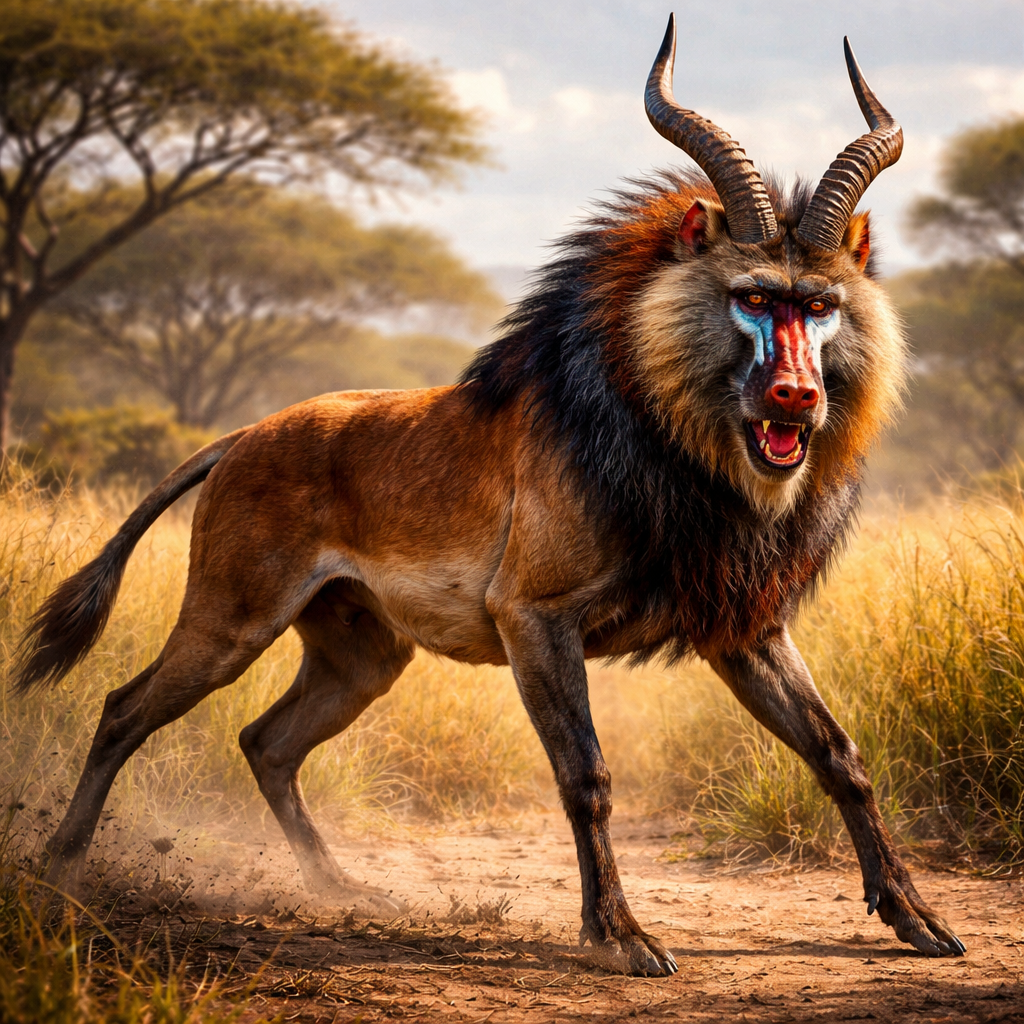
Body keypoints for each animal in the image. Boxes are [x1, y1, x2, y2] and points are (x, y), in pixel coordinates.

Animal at [15, 16, 964, 974]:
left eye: (822, 305)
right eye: (754, 297)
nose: (796, 398)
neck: (660, 436)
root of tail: (241, 438)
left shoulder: (744, 631)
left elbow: (838, 753)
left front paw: (919, 921)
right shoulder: (535, 618)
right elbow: (587, 774)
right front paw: (622, 937)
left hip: (362, 656)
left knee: (266, 742)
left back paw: (343, 889)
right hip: (230, 623)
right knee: (122, 710)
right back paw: (61, 871)